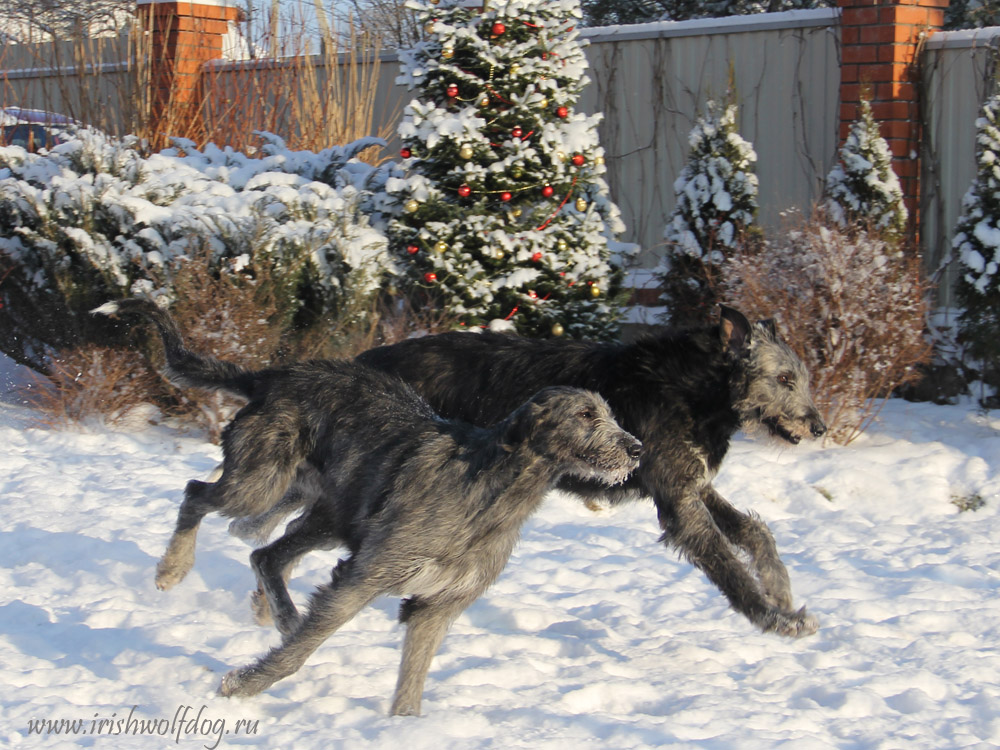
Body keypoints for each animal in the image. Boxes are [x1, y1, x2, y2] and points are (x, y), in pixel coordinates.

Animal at [94, 298, 640, 716]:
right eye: (586, 415)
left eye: (610, 413)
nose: (636, 449)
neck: (493, 494)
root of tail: (271, 377)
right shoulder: (364, 577)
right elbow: (303, 651)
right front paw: (244, 686)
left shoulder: (436, 606)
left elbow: (412, 680)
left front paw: (404, 728)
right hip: (260, 483)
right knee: (196, 495)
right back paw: (173, 569)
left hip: (330, 515)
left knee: (265, 553)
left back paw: (281, 612)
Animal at [360, 306, 828, 640]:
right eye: (784, 378)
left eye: (803, 379)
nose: (819, 427)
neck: (695, 387)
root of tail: (363, 360)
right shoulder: (679, 501)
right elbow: (727, 564)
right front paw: (776, 618)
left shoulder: (694, 483)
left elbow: (754, 532)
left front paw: (780, 590)